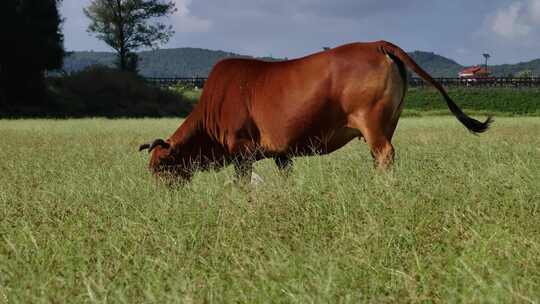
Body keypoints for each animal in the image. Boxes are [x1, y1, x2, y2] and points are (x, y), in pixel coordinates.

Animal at [140, 40, 494, 183]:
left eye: (160, 167)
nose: (161, 196)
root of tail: (376, 43)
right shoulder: (282, 154)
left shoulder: (241, 151)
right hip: (387, 123)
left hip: (372, 123)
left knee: (385, 155)